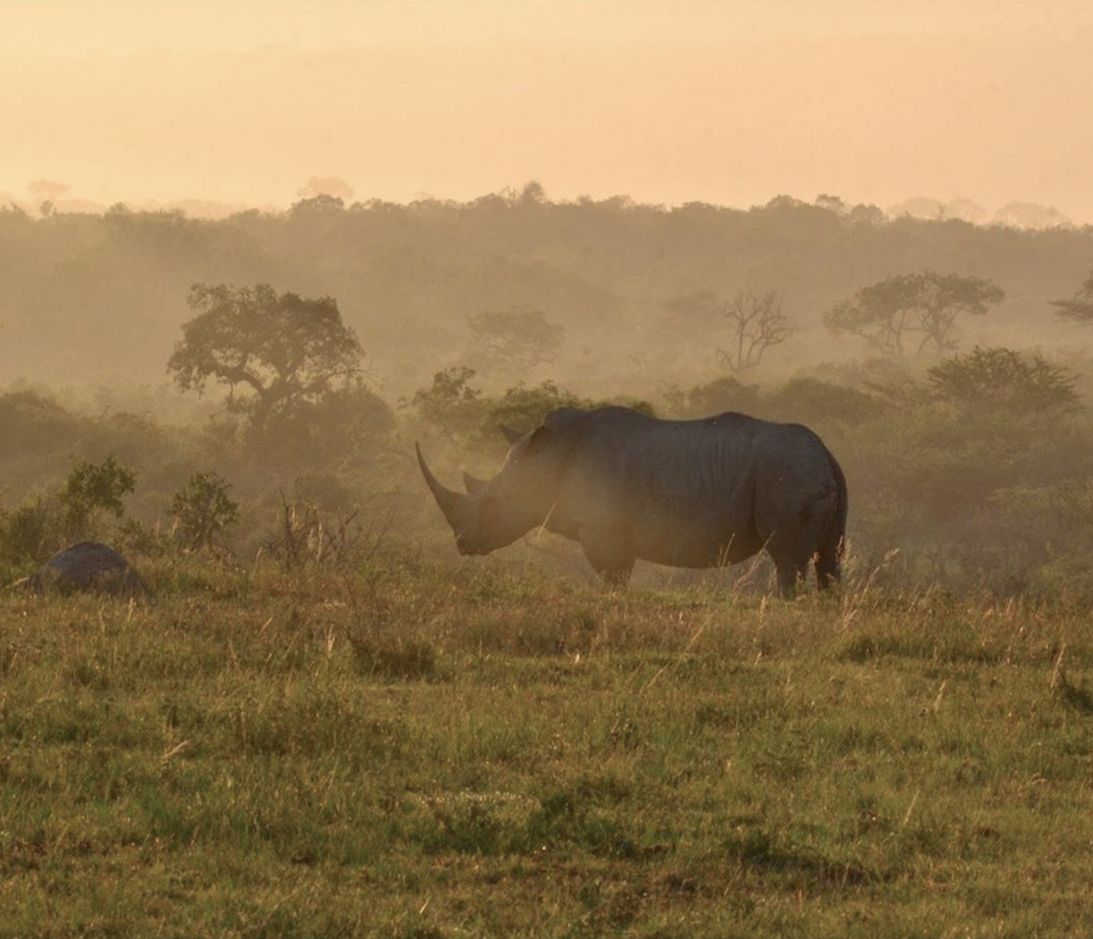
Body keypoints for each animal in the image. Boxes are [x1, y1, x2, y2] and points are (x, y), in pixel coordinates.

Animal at [417, 405, 847, 595]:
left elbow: (613, 577)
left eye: (492, 502)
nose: (463, 544)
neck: (551, 456)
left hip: (788, 473)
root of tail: (826, 452)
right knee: (828, 558)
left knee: (787, 560)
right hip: (817, 474)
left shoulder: (602, 527)